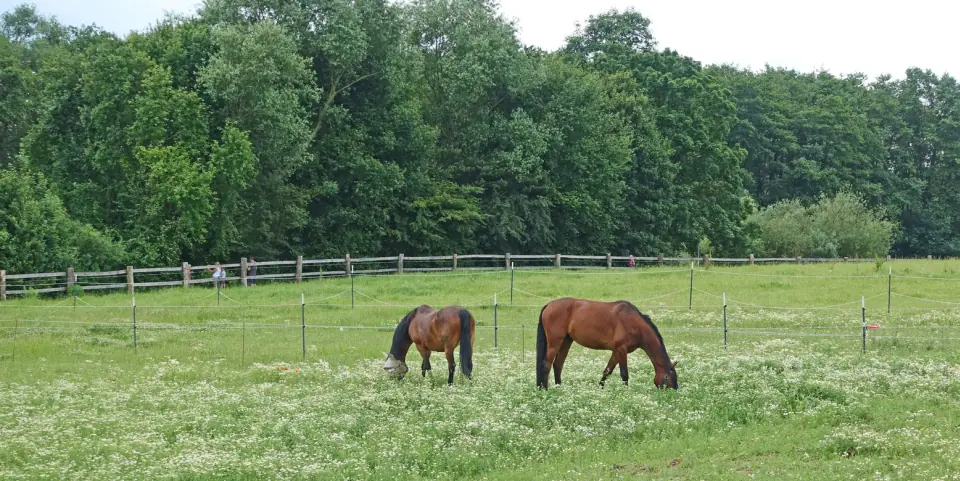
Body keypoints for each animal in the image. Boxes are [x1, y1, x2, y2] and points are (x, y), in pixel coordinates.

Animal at [535, 297, 678, 390]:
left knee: (558, 365)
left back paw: (559, 388)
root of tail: (549, 305)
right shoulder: (621, 350)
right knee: (546, 365)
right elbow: (624, 374)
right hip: (555, 342)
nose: (673, 393)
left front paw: (601, 389)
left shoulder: (616, 351)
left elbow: (607, 371)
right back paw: (545, 389)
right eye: (668, 378)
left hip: (566, 341)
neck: (634, 323)